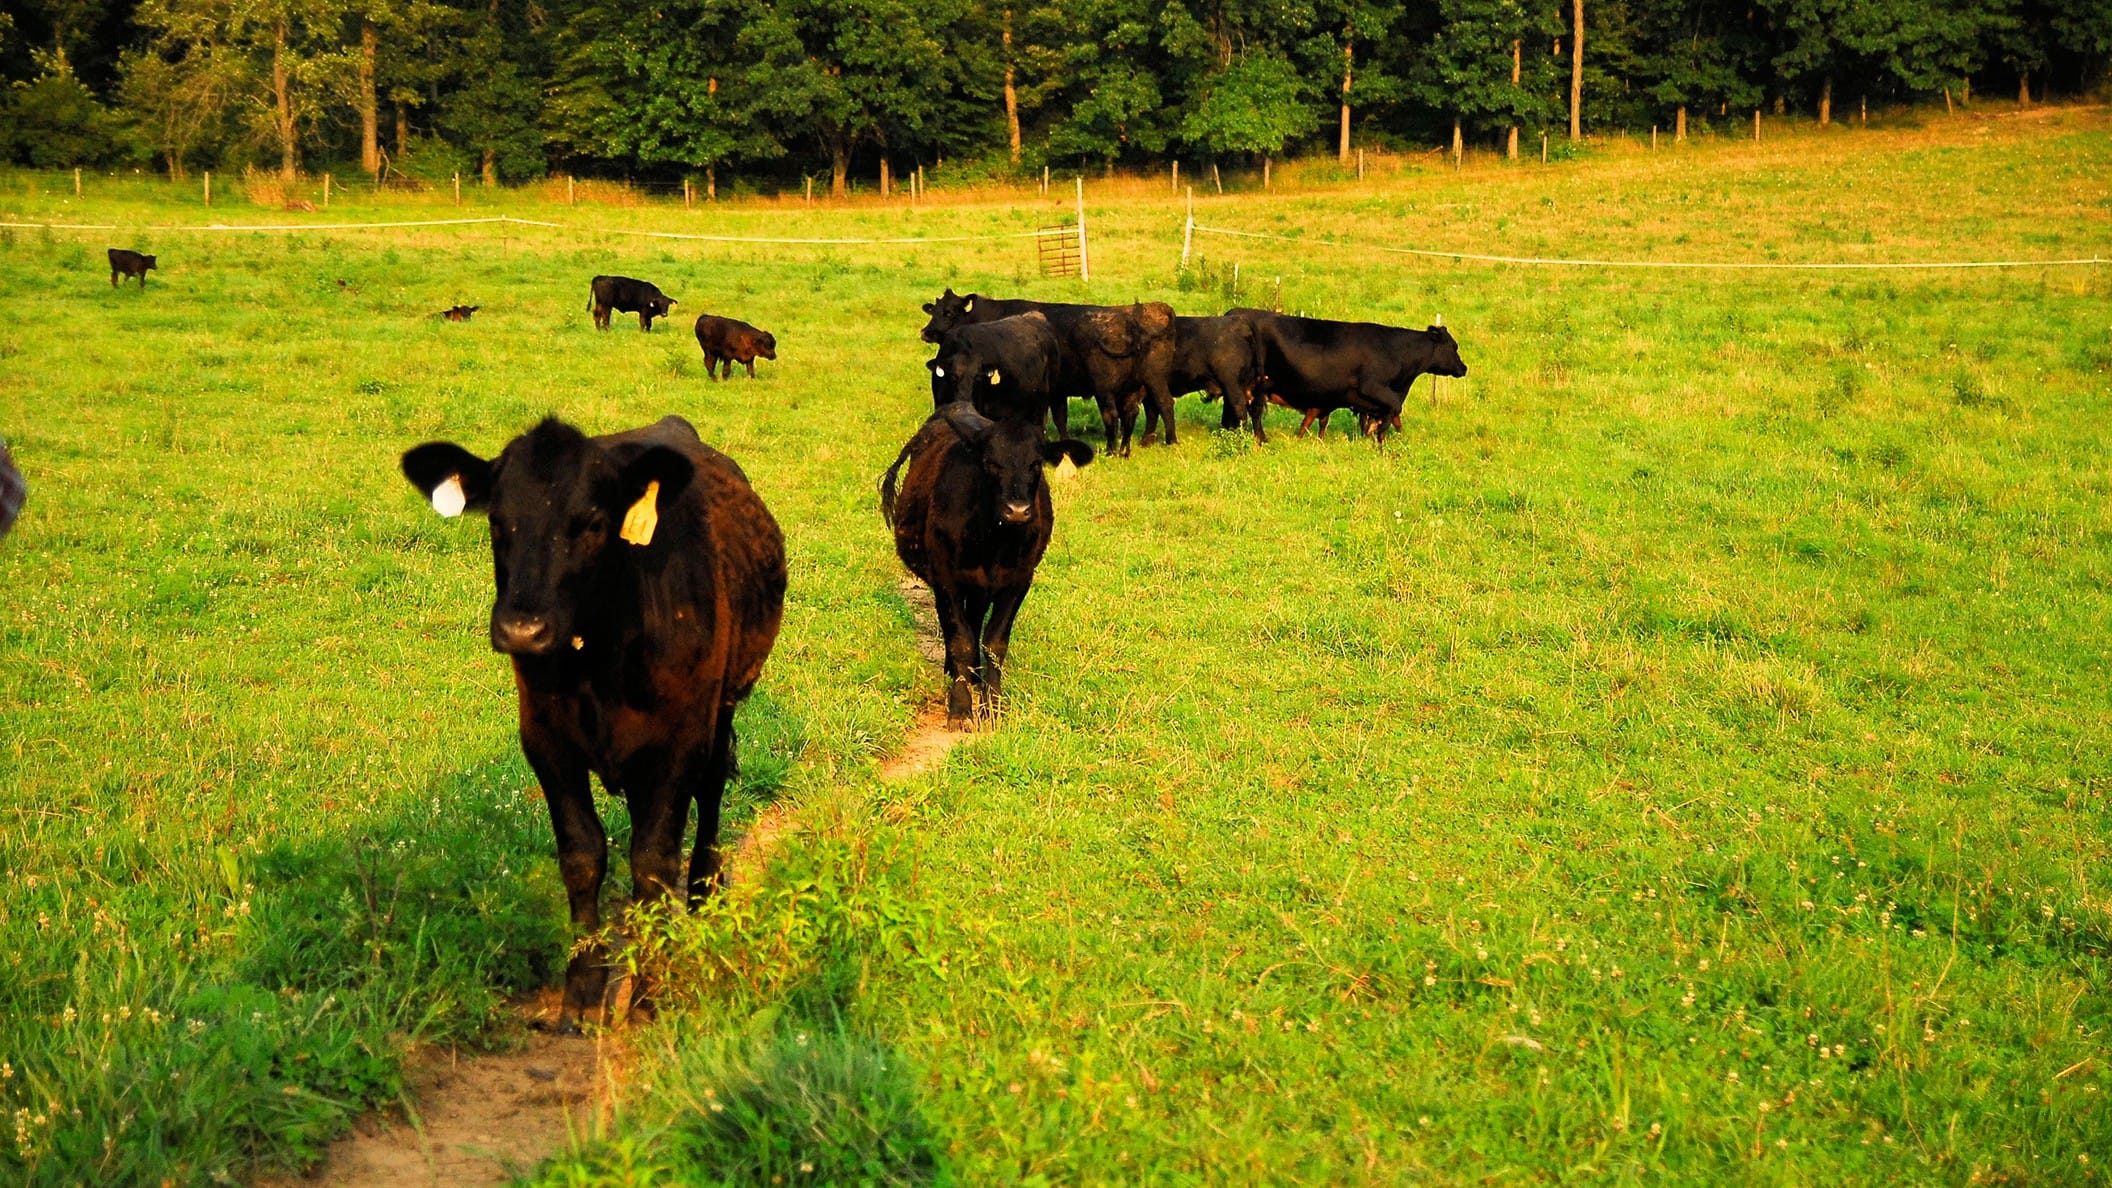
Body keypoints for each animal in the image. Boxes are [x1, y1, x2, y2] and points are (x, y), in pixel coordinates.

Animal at [399, 412, 789, 1031]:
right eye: (499, 522)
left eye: (592, 522)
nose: (522, 629)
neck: (600, 658)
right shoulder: (544, 738)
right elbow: (583, 856)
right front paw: (583, 991)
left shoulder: (679, 741)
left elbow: (653, 862)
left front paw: (649, 992)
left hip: (722, 707)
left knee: (708, 799)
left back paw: (704, 898)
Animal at [882, 401, 1098, 727]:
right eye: (990, 462)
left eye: (1036, 463)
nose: (1017, 510)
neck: (994, 543)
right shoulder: (947, 580)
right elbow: (960, 640)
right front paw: (960, 708)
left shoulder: (1018, 581)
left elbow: (994, 643)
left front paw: (992, 704)